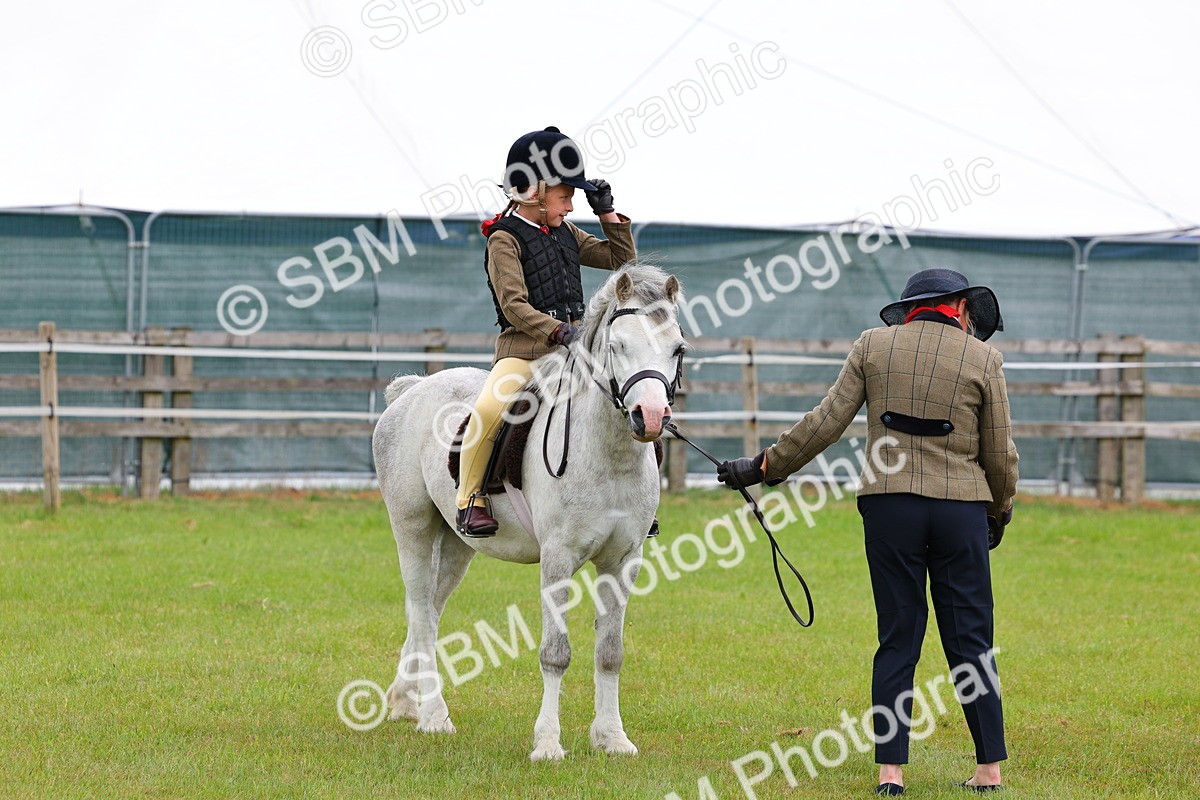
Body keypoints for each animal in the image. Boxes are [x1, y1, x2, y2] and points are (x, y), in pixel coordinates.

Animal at [372, 264, 685, 761]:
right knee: (420, 611)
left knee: (431, 611)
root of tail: (414, 389)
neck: (606, 453)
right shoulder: (557, 560)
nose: (650, 417)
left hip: (458, 544)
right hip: (413, 528)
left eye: (677, 348)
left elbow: (610, 652)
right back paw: (434, 716)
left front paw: (612, 738)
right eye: (617, 346)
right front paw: (548, 744)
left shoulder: (623, 561)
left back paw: (405, 700)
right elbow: (555, 653)